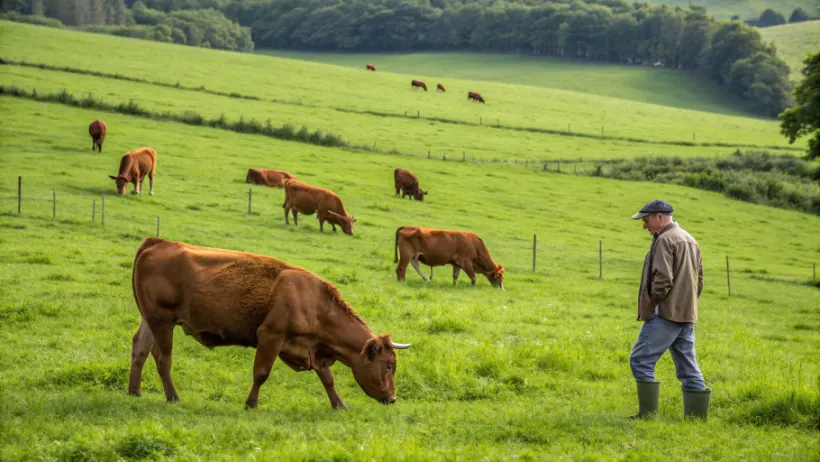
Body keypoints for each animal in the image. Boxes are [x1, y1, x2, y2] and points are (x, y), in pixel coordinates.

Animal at [127, 237, 412, 409]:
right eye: (389, 365)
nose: (393, 398)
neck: (315, 303)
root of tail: (158, 243)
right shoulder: (270, 336)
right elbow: (261, 373)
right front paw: (251, 404)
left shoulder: (313, 347)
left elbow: (328, 379)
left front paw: (339, 405)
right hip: (162, 320)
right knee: (162, 358)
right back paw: (173, 397)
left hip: (150, 319)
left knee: (139, 349)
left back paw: (134, 391)